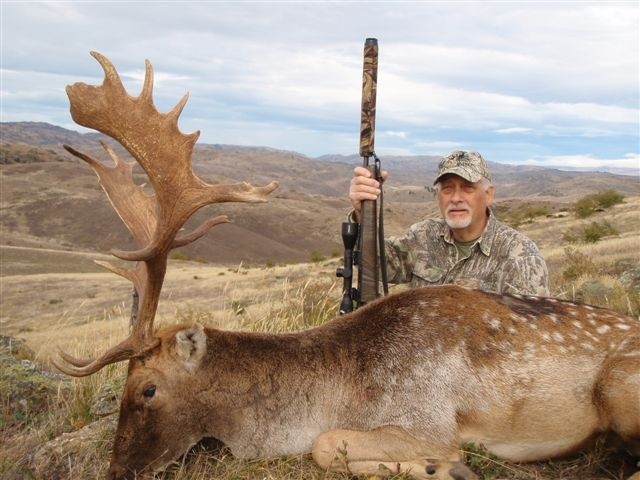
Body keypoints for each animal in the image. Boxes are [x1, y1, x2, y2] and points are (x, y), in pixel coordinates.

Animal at [53, 52, 640, 480]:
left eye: (147, 389)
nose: (116, 469)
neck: (333, 390)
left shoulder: (428, 420)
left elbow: (325, 443)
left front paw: (446, 468)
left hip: (619, 385)